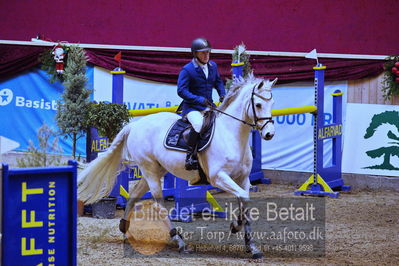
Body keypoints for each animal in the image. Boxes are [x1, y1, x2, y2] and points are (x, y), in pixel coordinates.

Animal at [78, 74, 278, 258]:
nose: (269, 134)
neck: (231, 136)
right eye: (258, 105)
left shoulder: (242, 179)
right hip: (150, 170)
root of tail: (135, 126)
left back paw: (125, 229)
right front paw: (235, 227)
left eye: (272, 103)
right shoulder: (218, 177)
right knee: (159, 206)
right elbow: (244, 198)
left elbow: (245, 202)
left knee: (134, 196)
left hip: (154, 170)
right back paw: (179, 241)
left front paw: (251, 246)